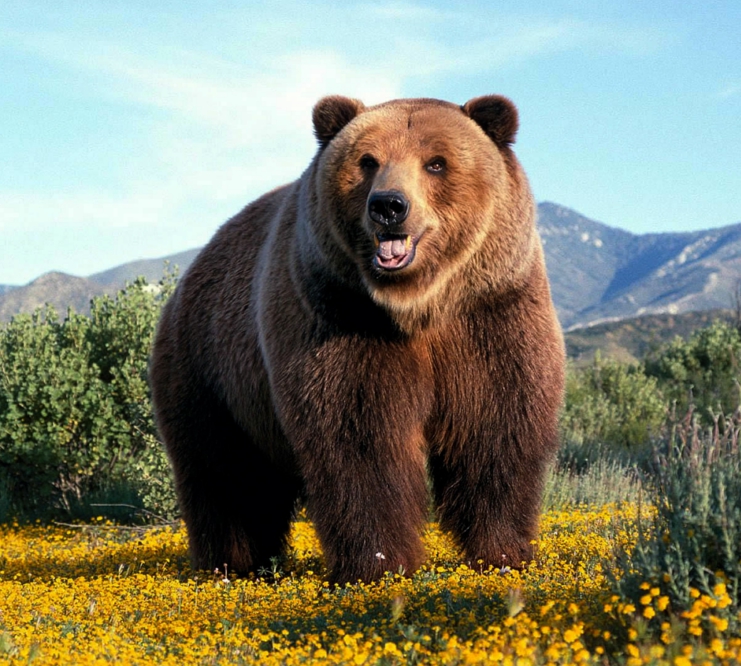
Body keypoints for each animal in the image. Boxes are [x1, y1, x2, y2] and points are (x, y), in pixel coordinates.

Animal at [149, 94, 565, 585]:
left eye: (436, 162)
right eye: (368, 161)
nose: (389, 205)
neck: (418, 306)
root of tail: (189, 275)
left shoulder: (491, 314)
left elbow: (495, 427)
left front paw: (504, 552)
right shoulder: (340, 317)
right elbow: (360, 439)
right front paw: (379, 563)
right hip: (210, 371)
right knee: (225, 474)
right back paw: (231, 563)